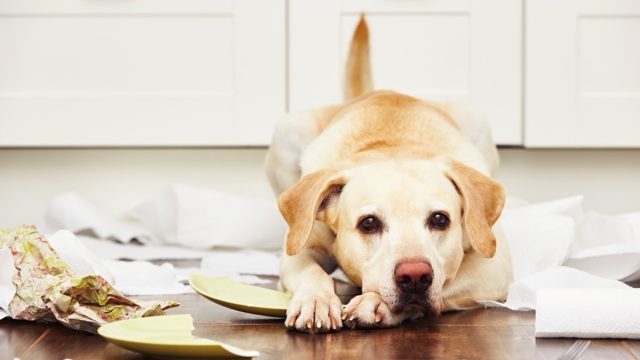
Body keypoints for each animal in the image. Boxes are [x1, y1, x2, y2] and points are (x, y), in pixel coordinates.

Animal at [264, 16, 510, 332]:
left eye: (440, 219)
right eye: (368, 223)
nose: (415, 276)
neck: (392, 147)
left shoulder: (495, 265)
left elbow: (447, 281)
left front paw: (374, 303)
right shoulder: (300, 249)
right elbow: (310, 270)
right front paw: (315, 299)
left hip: (475, 118)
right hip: (286, 131)